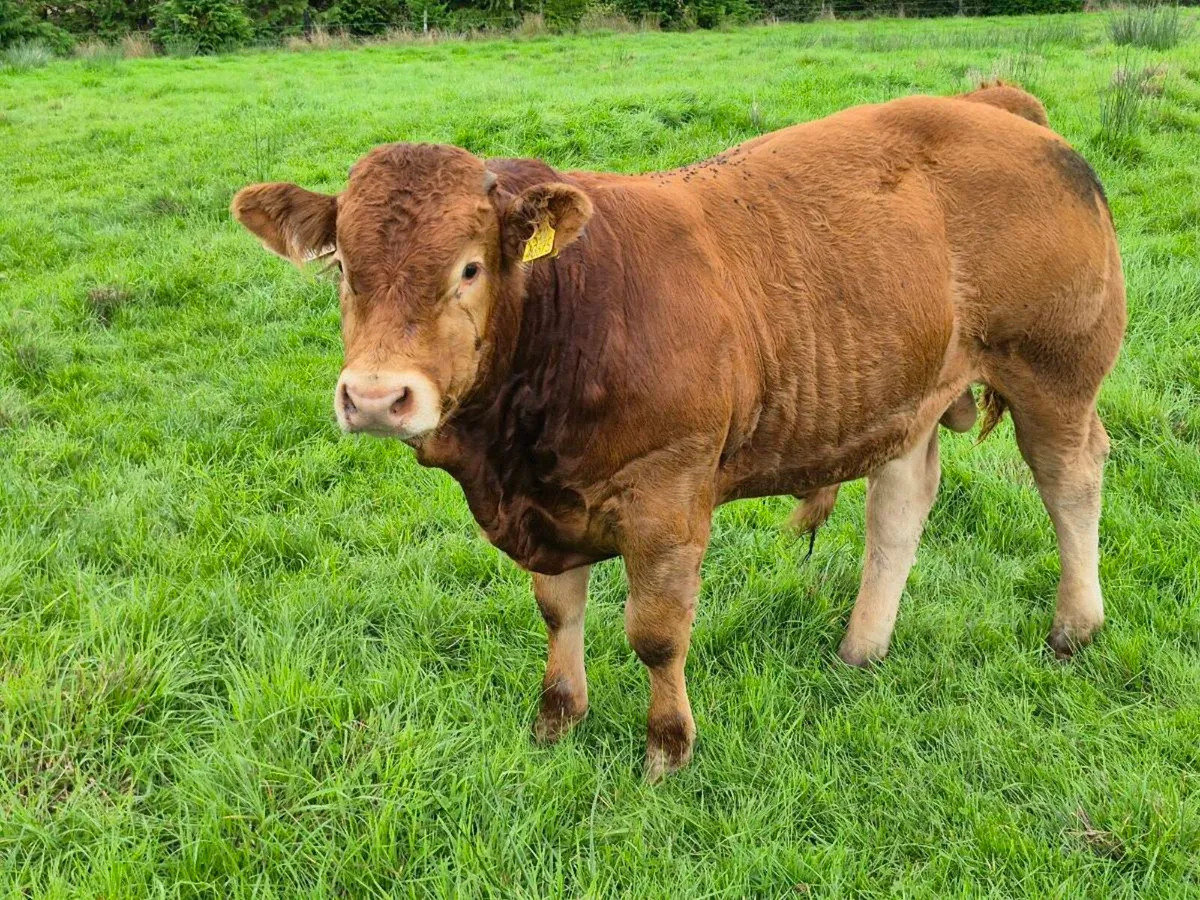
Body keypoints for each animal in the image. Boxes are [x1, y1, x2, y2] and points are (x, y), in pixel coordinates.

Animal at [232, 85, 1126, 779]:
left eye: (469, 268)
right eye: (344, 269)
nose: (377, 396)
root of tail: (995, 105)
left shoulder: (668, 496)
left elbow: (657, 636)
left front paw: (667, 747)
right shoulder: (543, 508)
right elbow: (558, 611)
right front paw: (557, 718)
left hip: (1055, 368)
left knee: (1071, 477)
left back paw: (1075, 626)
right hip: (908, 392)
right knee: (900, 506)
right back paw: (862, 647)